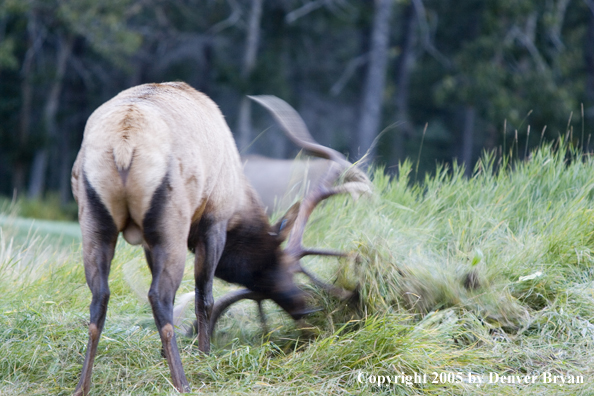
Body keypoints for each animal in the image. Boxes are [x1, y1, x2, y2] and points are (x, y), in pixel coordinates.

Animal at [70, 82, 370, 394]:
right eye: (280, 263)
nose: (305, 307)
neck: (240, 198)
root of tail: (124, 144)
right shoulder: (213, 222)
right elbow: (205, 298)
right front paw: (205, 355)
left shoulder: (149, 243)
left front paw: (165, 355)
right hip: (171, 222)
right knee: (159, 297)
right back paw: (183, 383)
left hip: (94, 221)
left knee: (100, 299)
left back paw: (82, 386)